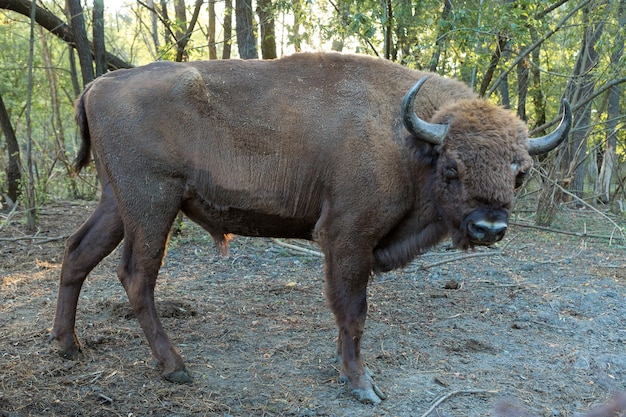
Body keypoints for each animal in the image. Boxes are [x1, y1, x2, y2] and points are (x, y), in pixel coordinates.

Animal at [52, 52, 572, 404]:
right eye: (452, 168)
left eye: (520, 172)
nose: (489, 227)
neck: (404, 140)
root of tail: (97, 85)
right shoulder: (348, 239)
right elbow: (354, 314)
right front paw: (363, 386)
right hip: (152, 205)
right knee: (137, 276)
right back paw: (174, 368)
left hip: (116, 204)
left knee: (77, 254)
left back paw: (67, 346)